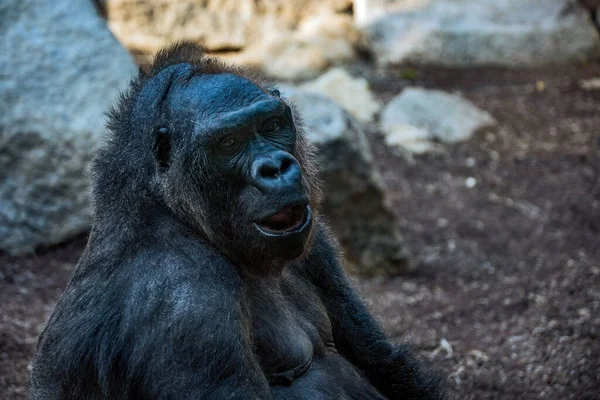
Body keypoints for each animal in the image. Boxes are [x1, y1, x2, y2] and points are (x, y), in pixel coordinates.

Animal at [30, 42, 448, 398]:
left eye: (271, 125)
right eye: (228, 142)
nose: (276, 168)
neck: (169, 210)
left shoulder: (317, 246)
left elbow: (379, 355)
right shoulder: (186, 303)